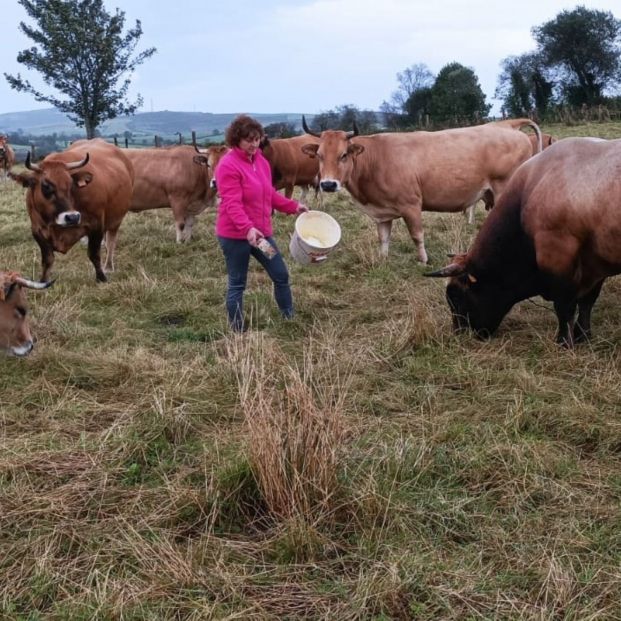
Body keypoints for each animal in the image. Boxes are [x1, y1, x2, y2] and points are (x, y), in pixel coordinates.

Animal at [9, 139, 134, 282]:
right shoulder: (37, 231)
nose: (72, 217)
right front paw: (43, 282)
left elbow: (94, 255)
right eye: (46, 185)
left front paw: (102, 278)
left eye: (71, 184)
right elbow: (47, 260)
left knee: (111, 242)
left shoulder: (97, 226)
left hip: (115, 221)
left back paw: (108, 266)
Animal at [424, 137, 620, 346]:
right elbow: (586, 302)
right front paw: (583, 336)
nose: (459, 333)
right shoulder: (594, 264)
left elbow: (564, 306)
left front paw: (564, 342)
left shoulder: (557, 255)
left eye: (455, 295)